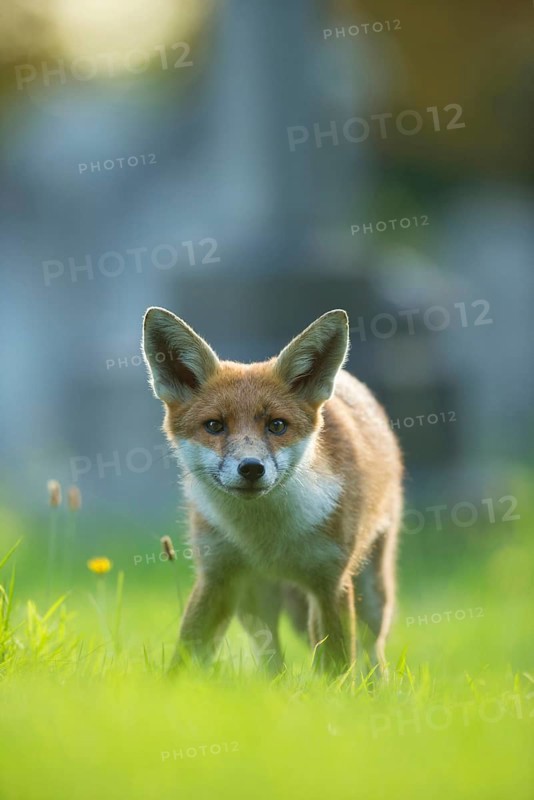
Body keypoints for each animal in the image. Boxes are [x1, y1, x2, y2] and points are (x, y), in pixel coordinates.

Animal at [142, 307, 403, 676]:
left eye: (277, 425)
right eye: (214, 426)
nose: (251, 468)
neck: (266, 538)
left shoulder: (330, 584)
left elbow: (339, 666)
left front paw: (339, 693)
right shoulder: (217, 576)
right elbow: (186, 655)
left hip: (370, 598)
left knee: (371, 654)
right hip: (254, 603)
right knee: (271, 657)